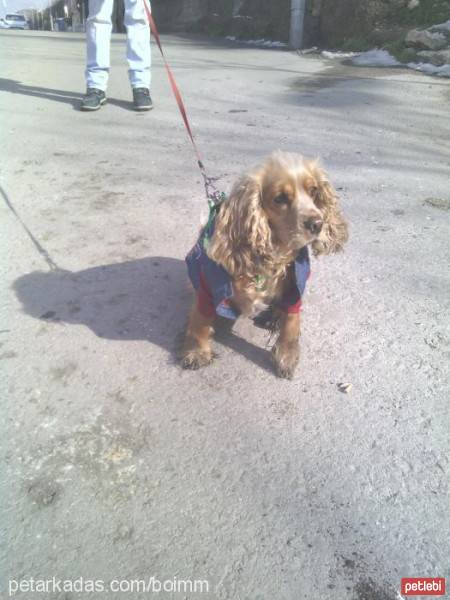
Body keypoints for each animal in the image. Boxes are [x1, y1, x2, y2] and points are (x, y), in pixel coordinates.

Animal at [181, 150, 350, 378]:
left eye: (314, 190)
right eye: (280, 199)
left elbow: (292, 320)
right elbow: (199, 319)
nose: (318, 224)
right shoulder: (208, 284)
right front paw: (196, 350)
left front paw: (287, 354)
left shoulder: (295, 284)